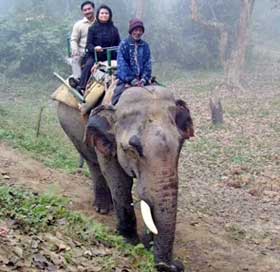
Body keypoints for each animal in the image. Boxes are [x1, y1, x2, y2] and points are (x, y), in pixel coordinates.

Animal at [56, 85, 192, 272]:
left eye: (180, 144)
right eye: (132, 149)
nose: (174, 266)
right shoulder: (108, 139)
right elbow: (120, 180)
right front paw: (129, 241)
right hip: (70, 128)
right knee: (93, 163)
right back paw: (103, 208)